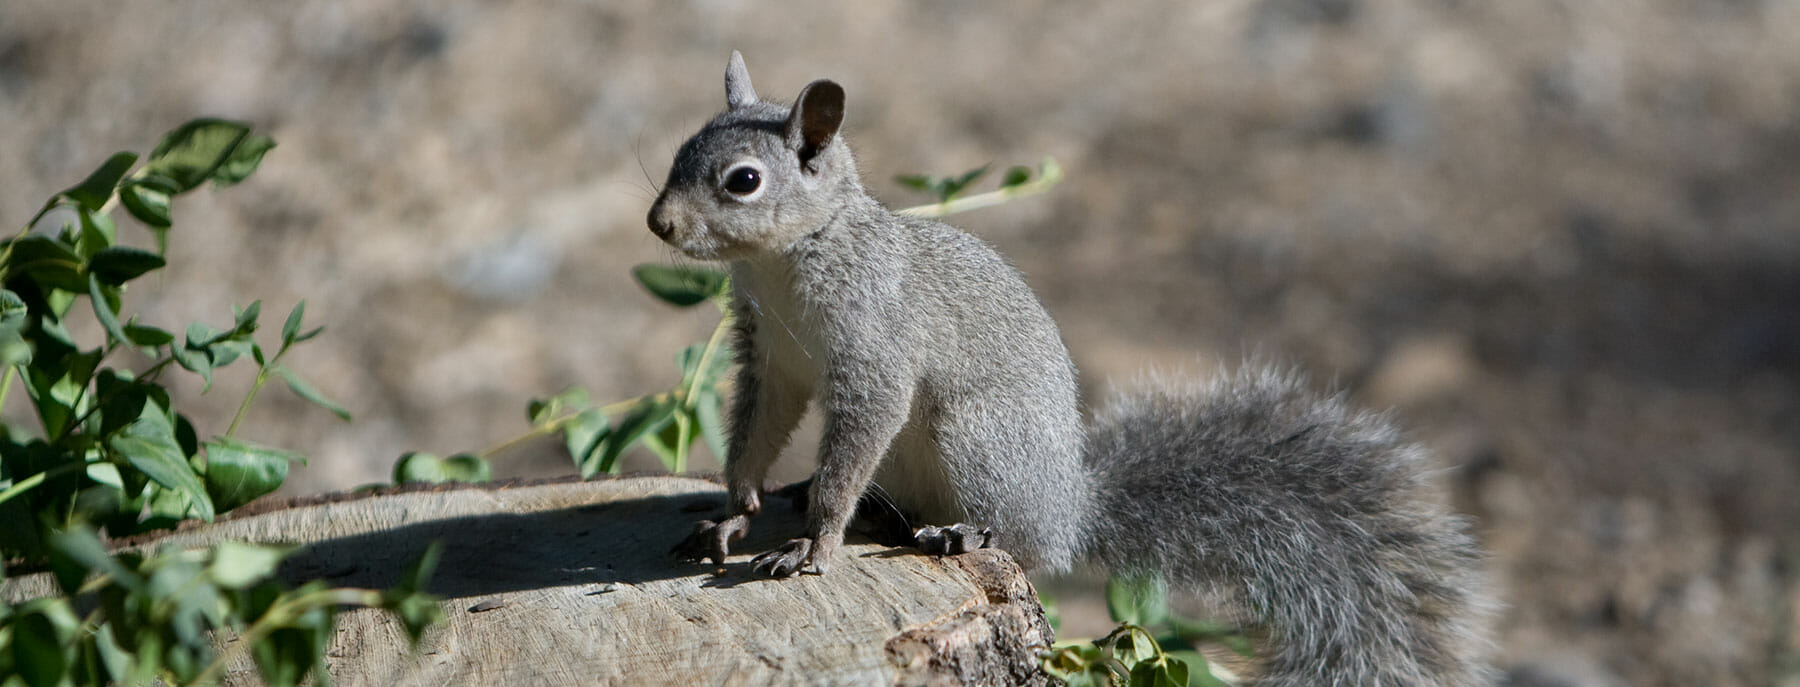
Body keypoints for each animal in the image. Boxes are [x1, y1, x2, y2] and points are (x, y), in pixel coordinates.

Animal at [649, 52, 1494, 686]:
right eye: (681, 150)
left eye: (744, 180)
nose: (658, 222)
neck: (786, 262)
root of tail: (1073, 506)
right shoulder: (772, 356)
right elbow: (755, 433)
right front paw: (736, 510)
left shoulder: (875, 347)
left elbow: (857, 440)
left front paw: (815, 541)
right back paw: (867, 509)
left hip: (977, 436)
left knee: (1021, 542)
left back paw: (957, 528)